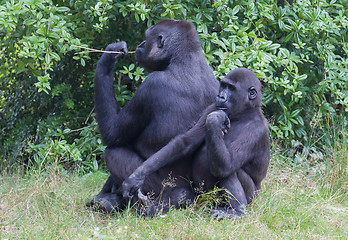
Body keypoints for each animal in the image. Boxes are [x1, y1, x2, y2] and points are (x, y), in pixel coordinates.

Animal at [86, 19, 219, 213]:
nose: (141, 44)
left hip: (161, 187)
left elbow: (112, 134)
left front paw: (108, 58)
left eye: (147, 37)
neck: (184, 58)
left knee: (114, 153)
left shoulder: (150, 86)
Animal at [121, 68, 270, 218]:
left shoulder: (256, 131)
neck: (245, 114)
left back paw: (238, 211)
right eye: (223, 86)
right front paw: (136, 177)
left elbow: (226, 166)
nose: (220, 96)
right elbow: (185, 143)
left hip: (251, 196)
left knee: (226, 170)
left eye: (231, 88)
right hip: (205, 197)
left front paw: (215, 120)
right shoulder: (212, 107)